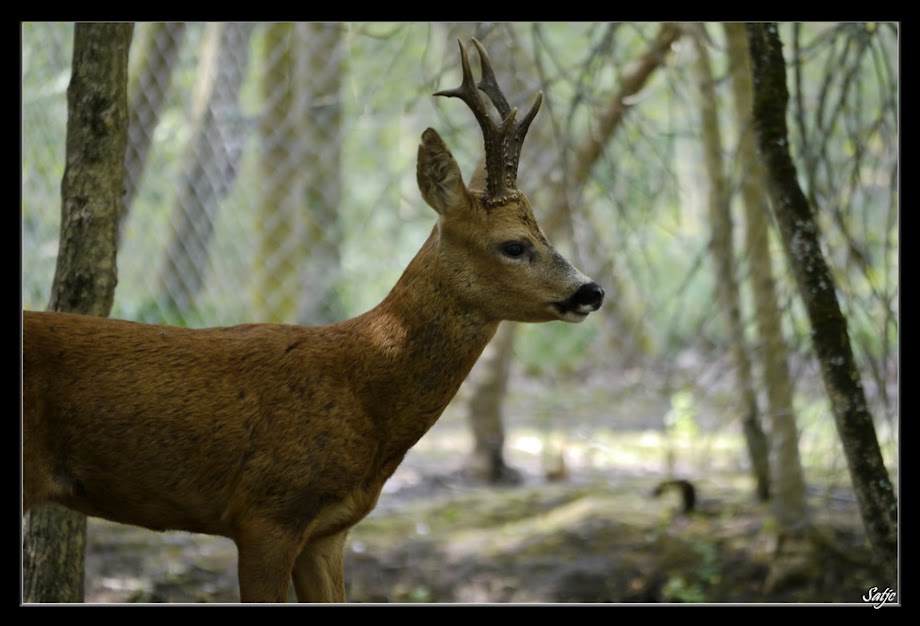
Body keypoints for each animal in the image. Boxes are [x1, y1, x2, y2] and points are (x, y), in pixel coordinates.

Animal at [23, 37, 604, 600]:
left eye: (542, 232)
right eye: (514, 244)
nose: (591, 291)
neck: (361, 388)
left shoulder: (328, 530)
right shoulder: (265, 514)